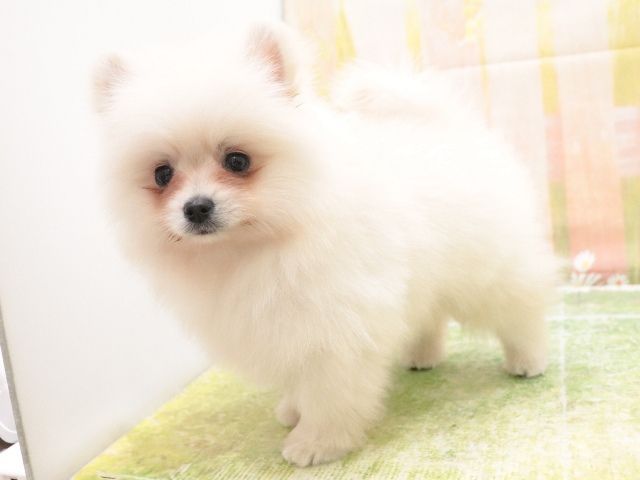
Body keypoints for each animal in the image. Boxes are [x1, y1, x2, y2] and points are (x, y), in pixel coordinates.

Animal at [92, 21, 557, 467]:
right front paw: (293, 410)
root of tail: (448, 125)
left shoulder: (335, 328)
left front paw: (317, 441)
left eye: (237, 161)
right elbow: (299, 381)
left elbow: (329, 393)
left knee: (521, 309)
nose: (196, 207)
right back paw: (421, 355)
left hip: (490, 270)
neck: (257, 247)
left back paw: (528, 360)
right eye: (163, 174)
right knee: (430, 315)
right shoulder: (286, 325)